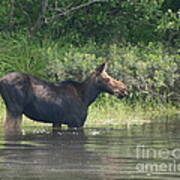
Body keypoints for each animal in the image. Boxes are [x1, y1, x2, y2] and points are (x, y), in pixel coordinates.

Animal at [0, 63, 128, 131]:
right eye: (107, 78)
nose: (124, 89)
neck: (87, 98)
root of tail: (1, 81)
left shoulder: (57, 121)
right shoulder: (76, 122)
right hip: (15, 109)